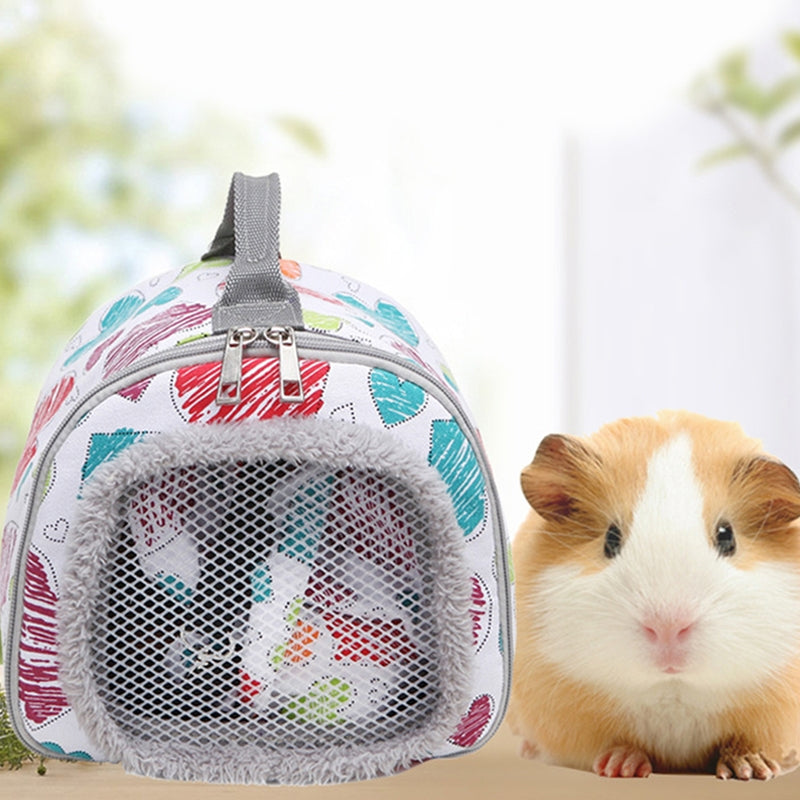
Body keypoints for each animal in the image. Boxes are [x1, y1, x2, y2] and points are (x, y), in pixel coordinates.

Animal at [507, 411, 800, 780]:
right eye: (611, 539)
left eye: (727, 536)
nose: (667, 628)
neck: (672, 690)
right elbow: (612, 744)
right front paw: (622, 767)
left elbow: (747, 741)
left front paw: (749, 770)